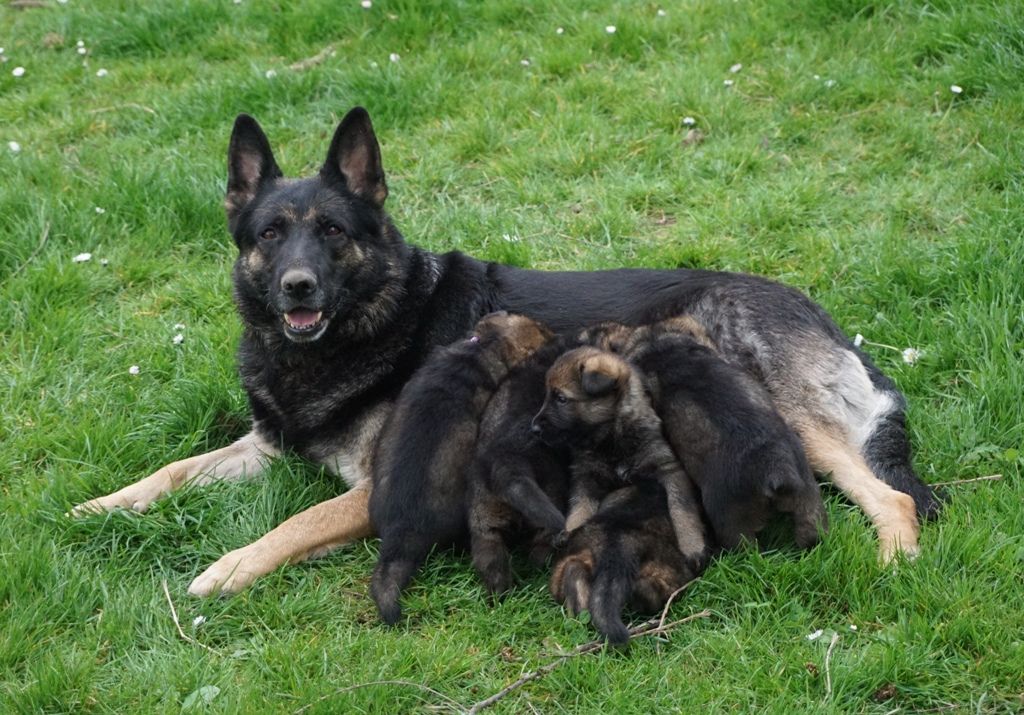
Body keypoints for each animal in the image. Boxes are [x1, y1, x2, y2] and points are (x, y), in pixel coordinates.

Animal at [532, 342, 708, 569]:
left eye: (561, 399)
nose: (533, 428)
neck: (611, 439)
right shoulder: (586, 476)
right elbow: (580, 505)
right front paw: (569, 530)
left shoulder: (669, 468)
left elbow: (681, 508)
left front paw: (692, 545)